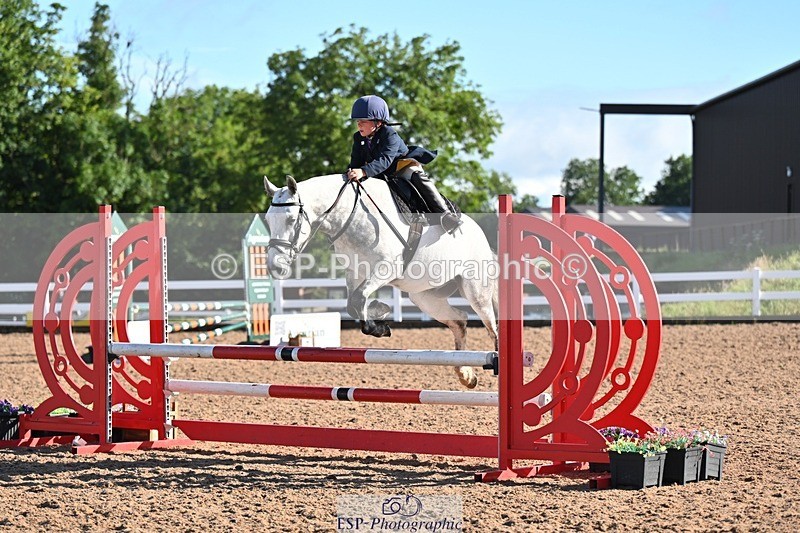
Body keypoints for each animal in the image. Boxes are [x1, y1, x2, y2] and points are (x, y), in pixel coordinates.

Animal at [262, 173, 498, 388]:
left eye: (291, 220)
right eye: (267, 220)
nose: (275, 266)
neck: (351, 215)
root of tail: (481, 237)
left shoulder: (386, 268)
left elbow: (358, 299)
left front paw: (380, 325)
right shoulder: (355, 271)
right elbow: (353, 304)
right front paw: (380, 310)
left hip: (476, 291)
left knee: (491, 326)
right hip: (425, 297)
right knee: (459, 321)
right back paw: (465, 375)